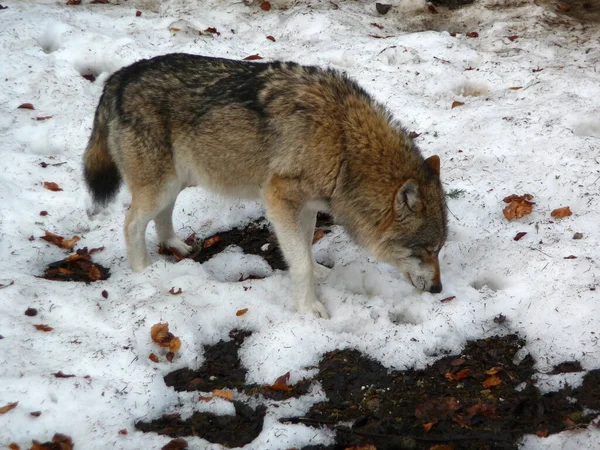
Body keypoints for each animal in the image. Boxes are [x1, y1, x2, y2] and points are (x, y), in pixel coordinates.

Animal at [85, 53, 450, 320]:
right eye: (426, 250)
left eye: (439, 250)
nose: (438, 289)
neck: (345, 145)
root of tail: (120, 76)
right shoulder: (278, 199)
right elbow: (298, 261)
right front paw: (309, 307)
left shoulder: (306, 206)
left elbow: (305, 248)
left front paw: (317, 271)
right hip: (160, 186)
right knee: (132, 223)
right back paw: (144, 271)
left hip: (177, 181)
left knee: (162, 216)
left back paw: (175, 246)